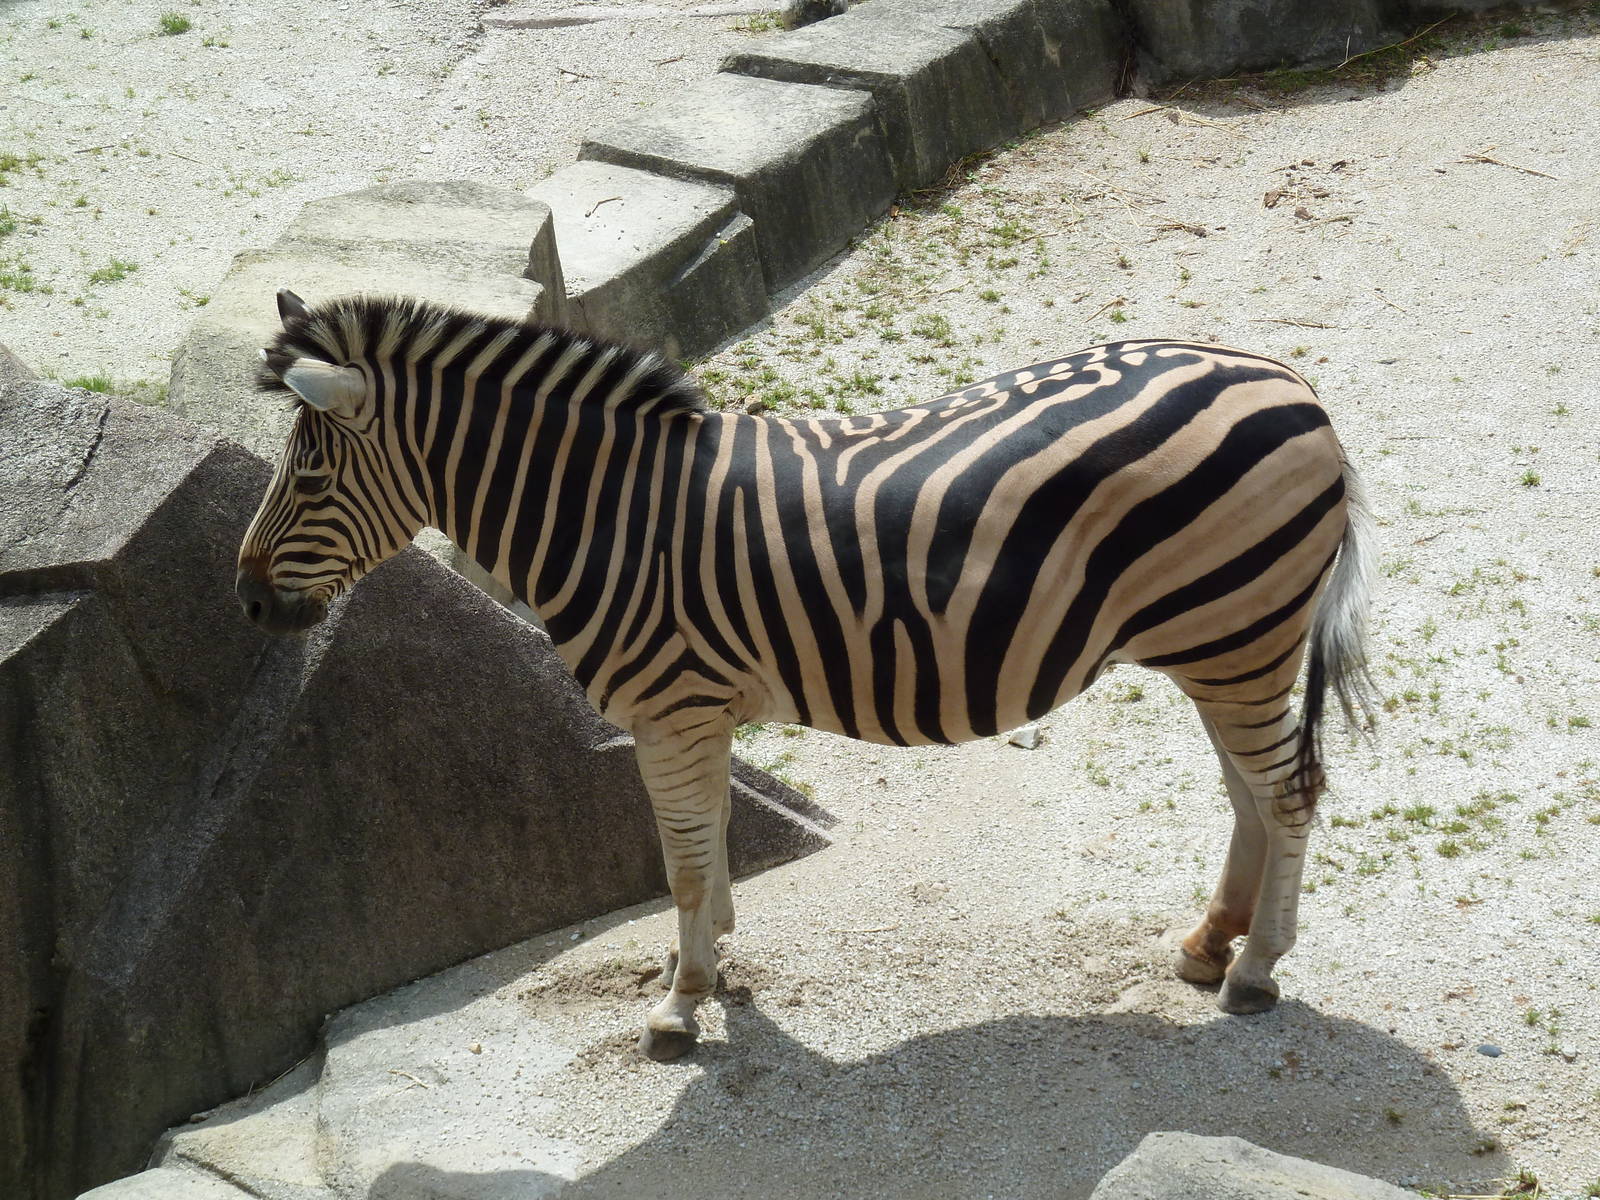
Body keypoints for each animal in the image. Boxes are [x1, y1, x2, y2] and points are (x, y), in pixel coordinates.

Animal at [237, 289, 1373, 1061]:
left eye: (312, 475)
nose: (244, 601)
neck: (606, 518)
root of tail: (1289, 379)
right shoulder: (691, 714)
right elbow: (703, 847)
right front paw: (701, 965)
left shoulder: (671, 708)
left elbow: (682, 862)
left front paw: (680, 1004)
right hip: (1221, 641)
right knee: (1249, 793)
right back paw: (1208, 944)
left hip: (1239, 634)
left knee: (1288, 791)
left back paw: (1255, 974)